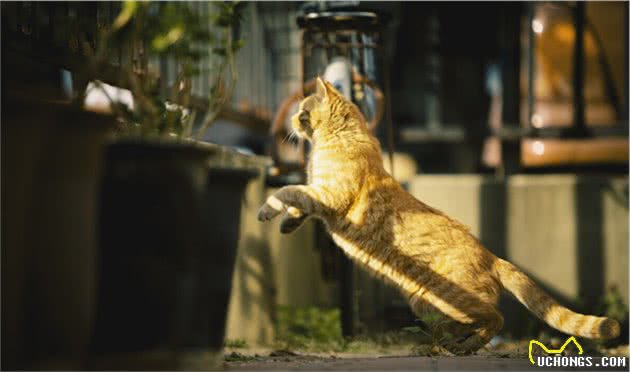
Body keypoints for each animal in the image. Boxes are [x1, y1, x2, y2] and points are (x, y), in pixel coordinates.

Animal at [258, 77, 624, 352]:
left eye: (303, 111)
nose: (290, 121)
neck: (339, 140)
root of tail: (491, 256)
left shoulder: (329, 195)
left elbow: (289, 191)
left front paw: (267, 210)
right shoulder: (321, 196)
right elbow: (299, 203)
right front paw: (287, 223)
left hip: (445, 297)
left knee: (495, 317)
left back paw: (464, 346)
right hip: (427, 305)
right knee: (473, 322)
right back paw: (453, 343)